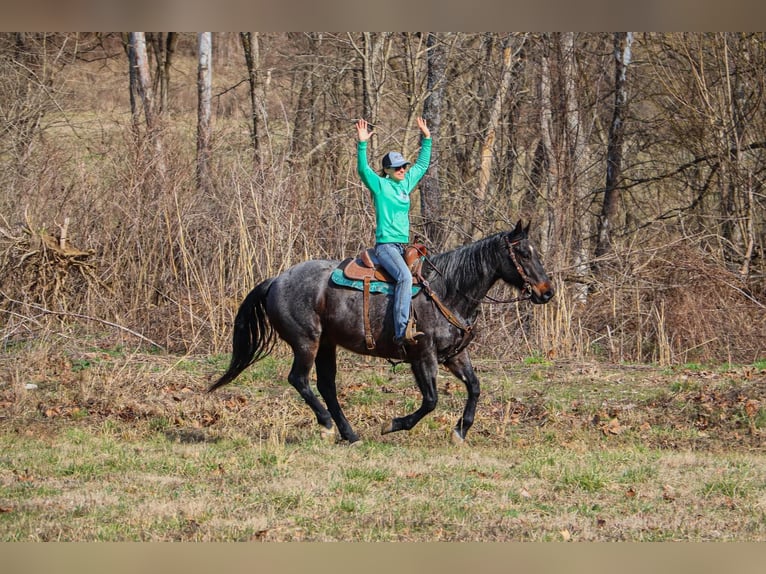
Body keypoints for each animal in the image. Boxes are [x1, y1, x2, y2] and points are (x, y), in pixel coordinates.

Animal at [208, 220, 560, 446]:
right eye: (524, 253)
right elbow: (431, 400)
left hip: (327, 344)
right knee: (300, 380)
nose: (546, 292)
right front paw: (395, 424)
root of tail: (276, 280)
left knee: (326, 386)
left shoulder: (455, 355)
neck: (448, 290)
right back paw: (326, 425)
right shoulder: (423, 356)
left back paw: (349, 434)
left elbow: (474, 388)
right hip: (307, 341)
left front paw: (460, 431)